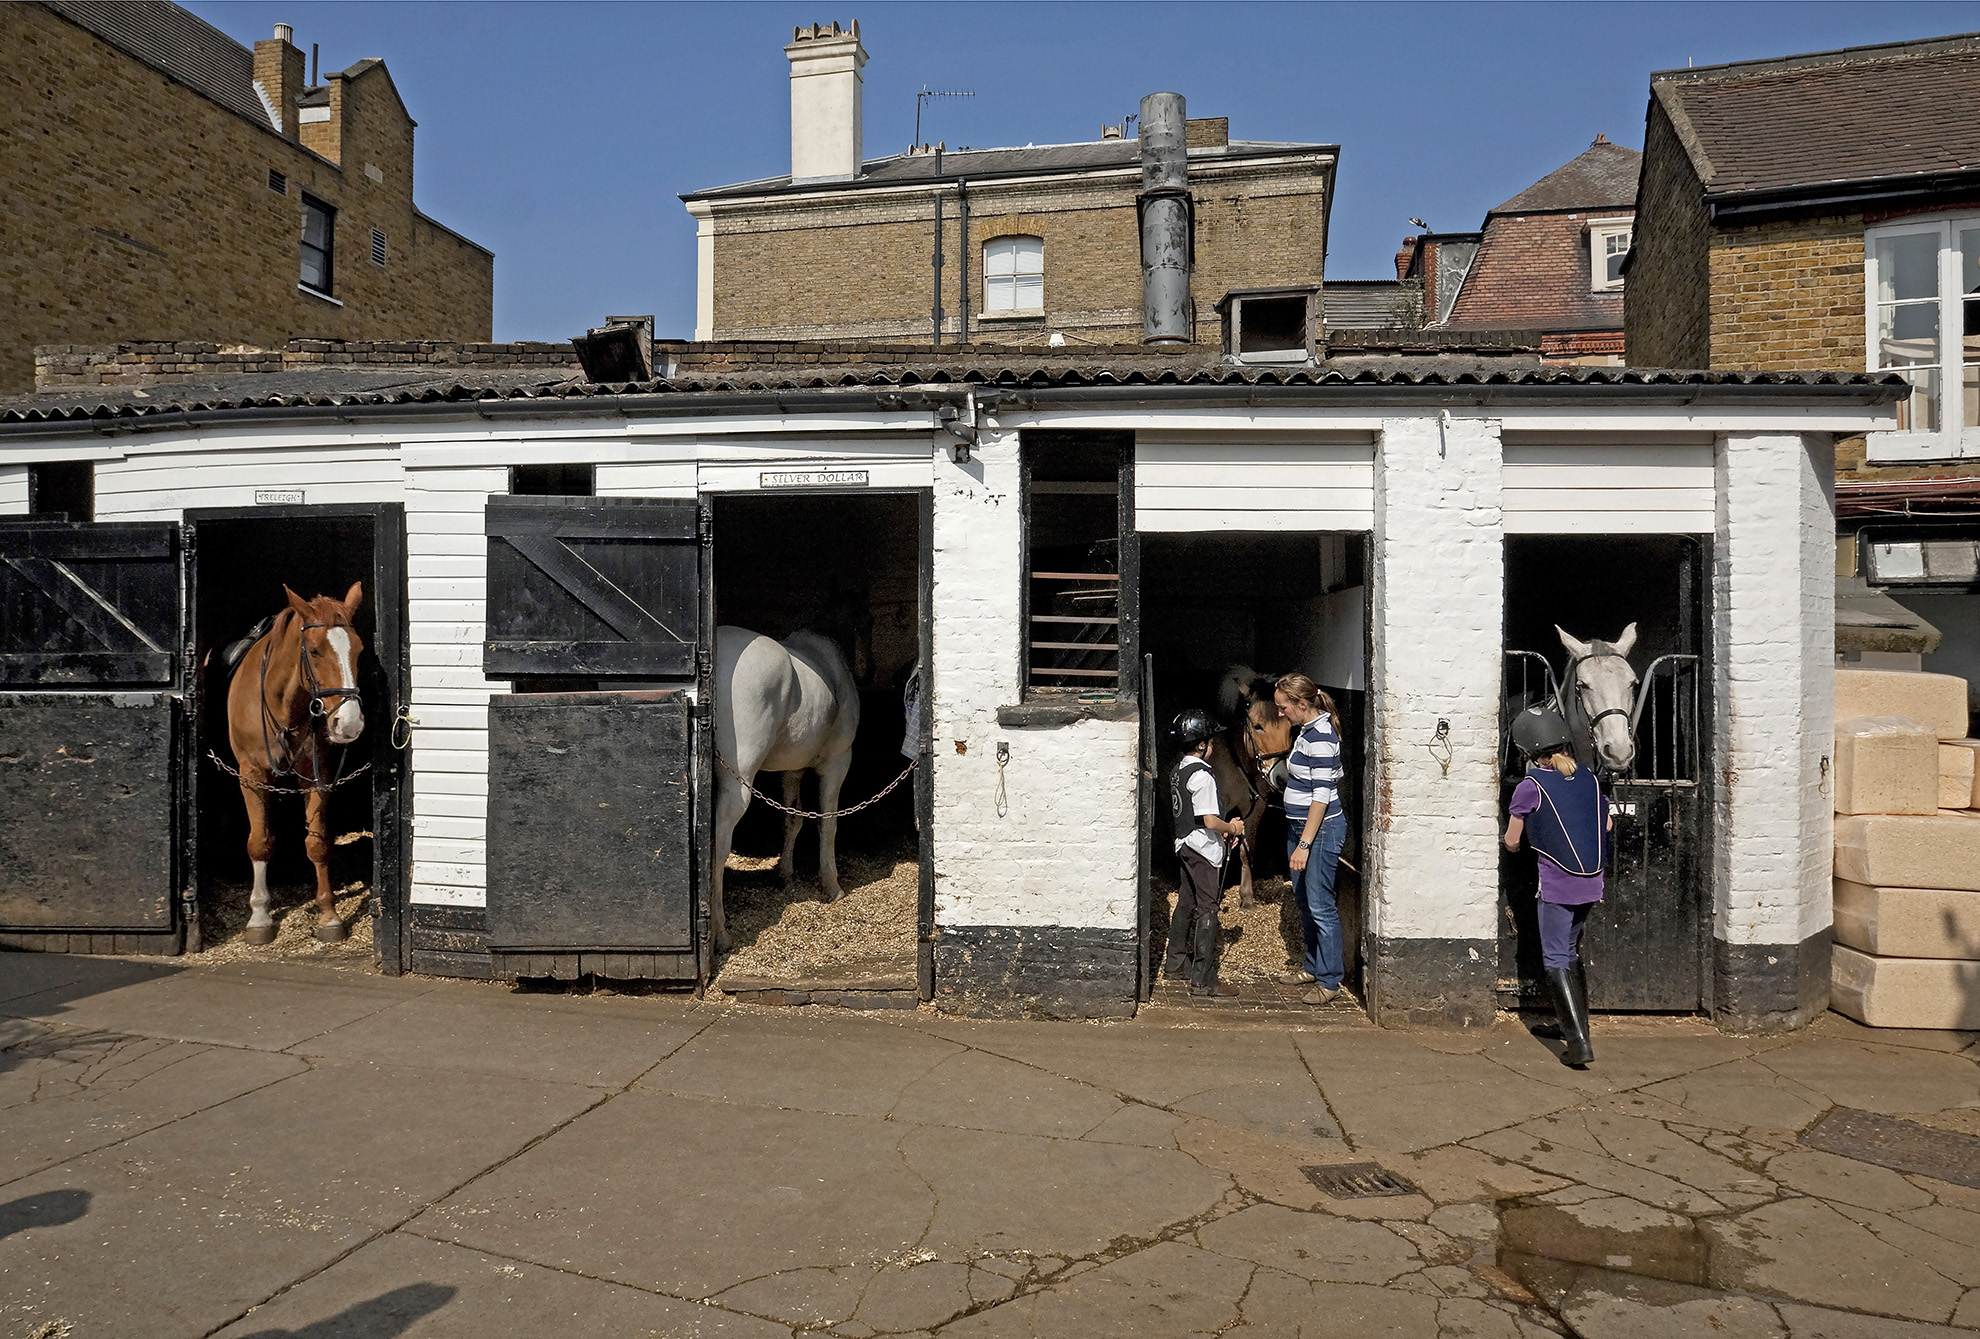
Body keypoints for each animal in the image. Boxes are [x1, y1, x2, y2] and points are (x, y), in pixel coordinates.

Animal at [227, 582, 368, 942]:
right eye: (314, 651)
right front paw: (259, 916)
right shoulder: (251, 776)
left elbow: (317, 843)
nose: (349, 724)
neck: (283, 706)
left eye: (359, 650)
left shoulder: (316, 775)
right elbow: (260, 842)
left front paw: (329, 915)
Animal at [716, 625, 863, 950]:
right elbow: (828, 823)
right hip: (738, 781)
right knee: (718, 844)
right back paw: (720, 934)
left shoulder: (792, 770)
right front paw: (831, 885)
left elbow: (792, 820)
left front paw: (785, 875)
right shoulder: (838, 762)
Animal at [1203, 665, 1298, 903]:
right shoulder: (1216, 807)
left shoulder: (1255, 807)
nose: (1282, 778)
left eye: (1289, 726)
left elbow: (1246, 850)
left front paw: (1247, 897)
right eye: (1257, 726)